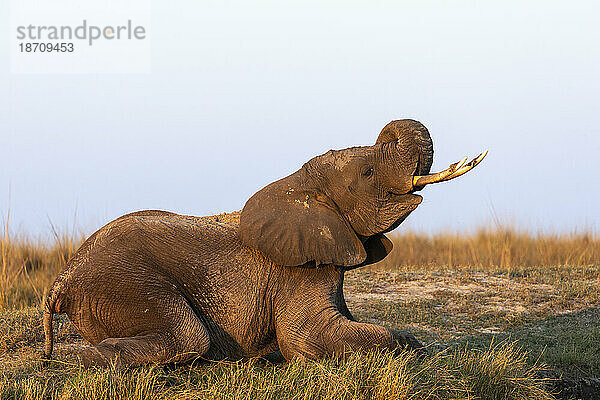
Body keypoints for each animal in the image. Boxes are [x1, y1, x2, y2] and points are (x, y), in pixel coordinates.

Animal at [42, 119, 486, 366]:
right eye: (368, 173)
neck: (299, 184)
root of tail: (62, 279)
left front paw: (416, 347)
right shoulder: (299, 271)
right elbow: (307, 337)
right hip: (122, 282)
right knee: (189, 335)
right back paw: (92, 357)